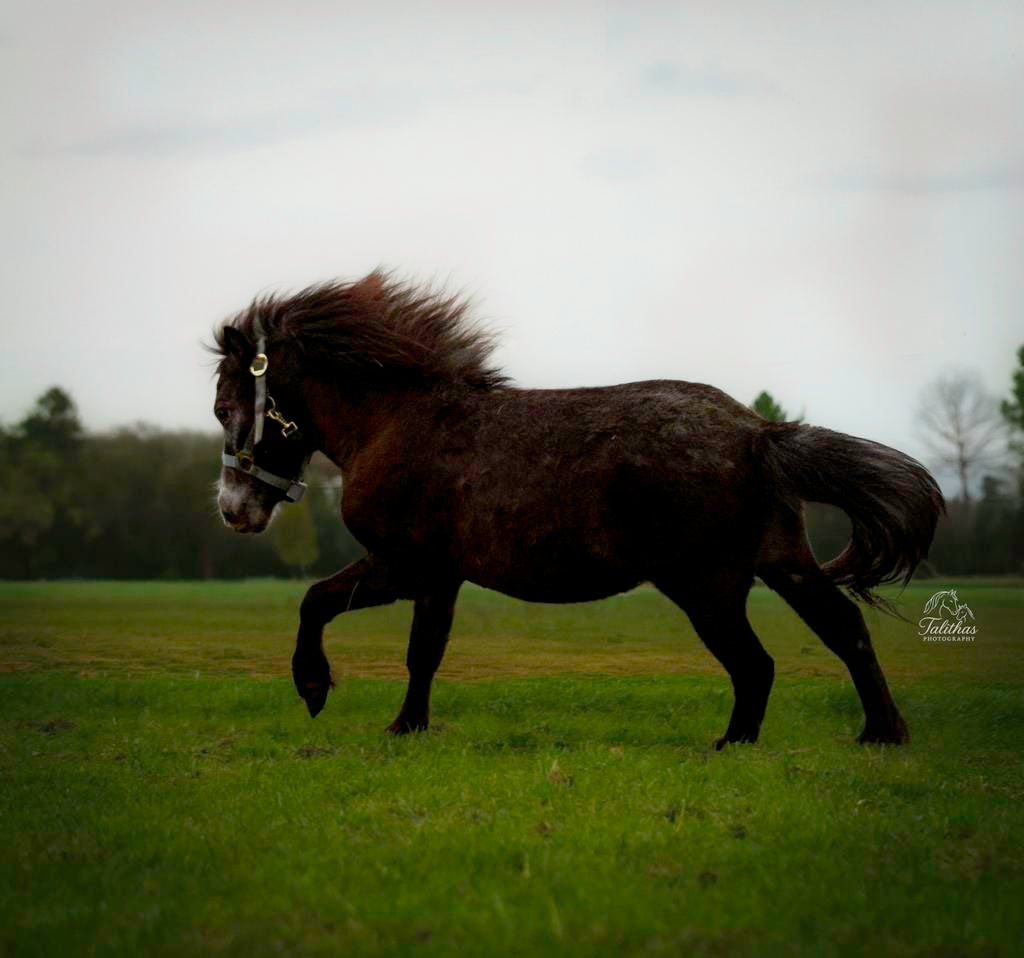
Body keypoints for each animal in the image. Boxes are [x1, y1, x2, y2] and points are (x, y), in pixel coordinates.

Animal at [211, 272, 945, 747]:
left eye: (223, 407)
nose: (232, 511)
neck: (398, 424)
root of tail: (756, 433)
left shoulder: (401, 566)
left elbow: (315, 602)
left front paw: (314, 688)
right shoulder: (439, 578)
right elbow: (424, 655)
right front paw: (408, 727)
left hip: (706, 587)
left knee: (756, 663)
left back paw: (734, 744)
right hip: (781, 562)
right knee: (845, 630)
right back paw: (880, 733)